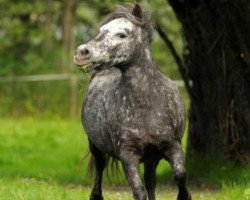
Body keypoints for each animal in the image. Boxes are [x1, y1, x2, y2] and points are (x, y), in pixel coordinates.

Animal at [73, 3, 191, 200]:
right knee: (99, 172)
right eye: (101, 31)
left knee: (151, 181)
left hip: (152, 157)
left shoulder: (171, 145)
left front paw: (184, 195)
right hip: (97, 148)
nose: (82, 52)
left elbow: (180, 175)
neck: (146, 107)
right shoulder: (128, 155)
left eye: (122, 34)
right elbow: (139, 191)